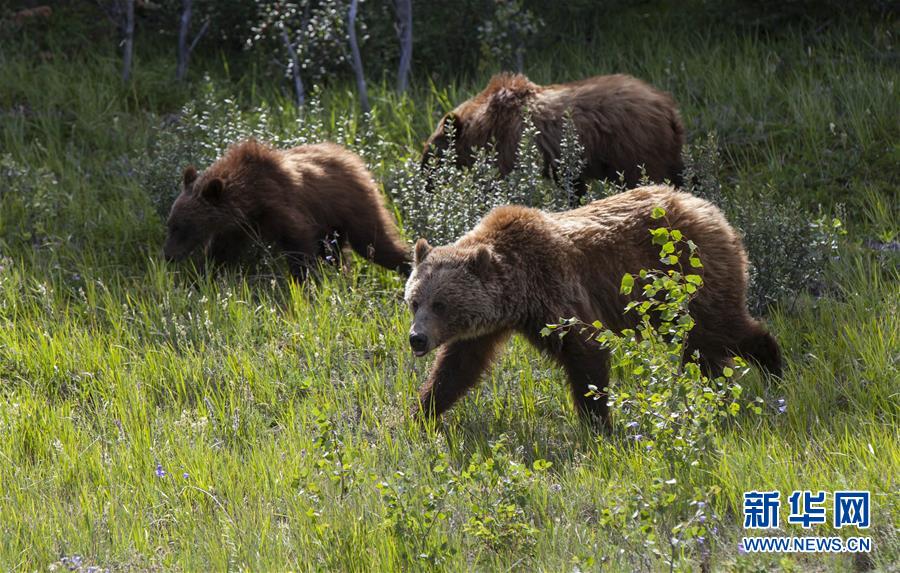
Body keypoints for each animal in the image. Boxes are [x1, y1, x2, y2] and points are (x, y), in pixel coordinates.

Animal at [163, 141, 410, 280]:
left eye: (183, 227)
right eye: (171, 224)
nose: (168, 255)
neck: (250, 199)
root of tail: (352, 156)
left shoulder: (281, 209)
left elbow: (299, 246)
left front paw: (305, 283)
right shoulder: (236, 227)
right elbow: (220, 254)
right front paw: (203, 279)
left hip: (353, 205)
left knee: (374, 243)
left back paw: (408, 265)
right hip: (331, 223)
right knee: (336, 252)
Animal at [404, 185, 784, 426]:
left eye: (441, 304)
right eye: (414, 301)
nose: (416, 338)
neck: (519, 292)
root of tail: (710, 208)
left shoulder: (556, 293)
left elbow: (586, 353)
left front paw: (598, 425)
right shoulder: (486, 326)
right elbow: (457, 367)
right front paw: (422, 414)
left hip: (689, 275)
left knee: (719, 327)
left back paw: (773, 370)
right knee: (701, 344)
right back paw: (710, 388)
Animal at [422, 72, 684, 190]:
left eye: (430, 152)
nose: (425, 179)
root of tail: (667, 107)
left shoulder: (509, 145)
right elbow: (573, 184)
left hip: (635, 146)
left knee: (646, 175)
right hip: (668, 149)